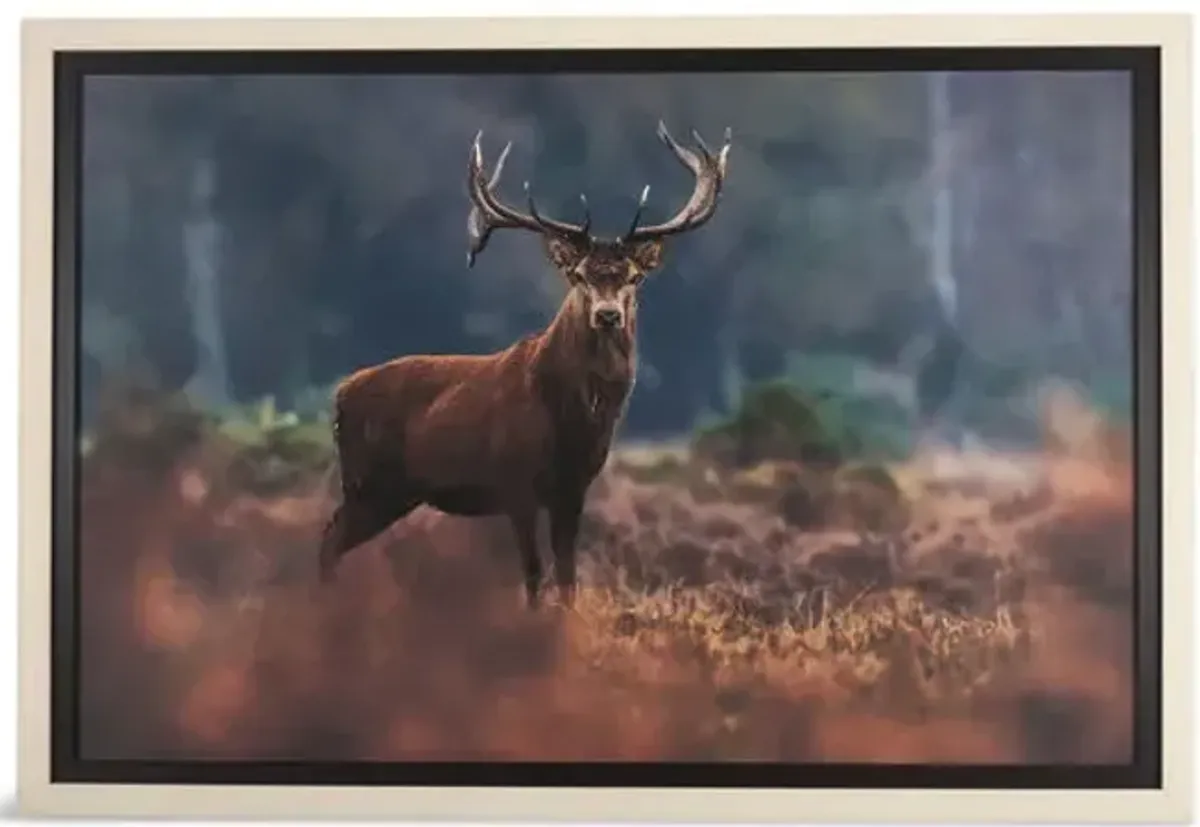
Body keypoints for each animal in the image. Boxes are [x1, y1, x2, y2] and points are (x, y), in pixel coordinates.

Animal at [317, 121, 731, 609]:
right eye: (579, 275)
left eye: (633, 277)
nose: (607, 314)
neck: (574, 418)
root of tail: (340, 394)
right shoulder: (514, 482)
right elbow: (533, 573)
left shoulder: (574, 488)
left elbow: (568, 575)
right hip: (371, 483)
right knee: (329, 539)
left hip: (388, 491)